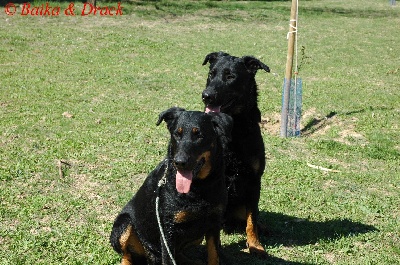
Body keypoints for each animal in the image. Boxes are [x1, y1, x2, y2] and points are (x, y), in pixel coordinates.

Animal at [111, 107, 233, 264]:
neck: (198, 187)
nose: (179, 162)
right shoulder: (168, 230)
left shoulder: (214, 224)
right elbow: (169, 258)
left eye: (199, 135)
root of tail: (151, 256)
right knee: (127, 255)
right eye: (177, 134)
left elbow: (214, 256)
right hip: (124, 225)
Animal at [202, 51, 270, 256]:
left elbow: (251, 220)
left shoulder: (254, 180)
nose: (206, 96)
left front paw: (255, 245)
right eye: (211, 74)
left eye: (230, 77)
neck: (235, 128)